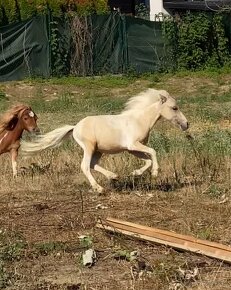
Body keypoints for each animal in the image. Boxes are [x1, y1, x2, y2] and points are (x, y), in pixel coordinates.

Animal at [20, 88, 189, 193]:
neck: (140, 120)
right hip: (89, 147)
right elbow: (153, 152)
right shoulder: (133, 144)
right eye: (174, 108)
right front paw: (154, 173)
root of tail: (75, 127)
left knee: (93, 164)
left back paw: (114, 176)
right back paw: (99, 188)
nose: (186, 124)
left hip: (98, 150)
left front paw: (135, 173)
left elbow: (147, 159)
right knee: (85, 166)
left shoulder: (132, 149)